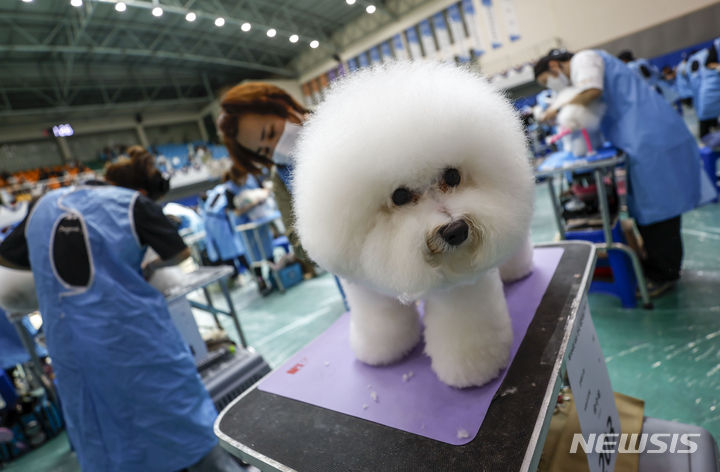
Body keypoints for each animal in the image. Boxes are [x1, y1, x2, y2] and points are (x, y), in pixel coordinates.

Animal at [292, 61, 536, 388]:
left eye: (452, 176)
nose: (456, 231)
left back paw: (518, 271)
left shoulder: (460, 289)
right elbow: (382, 323)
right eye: (400, 195)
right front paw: (382, 352)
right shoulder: (368, 291)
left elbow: (466, 330)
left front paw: (473, 369)